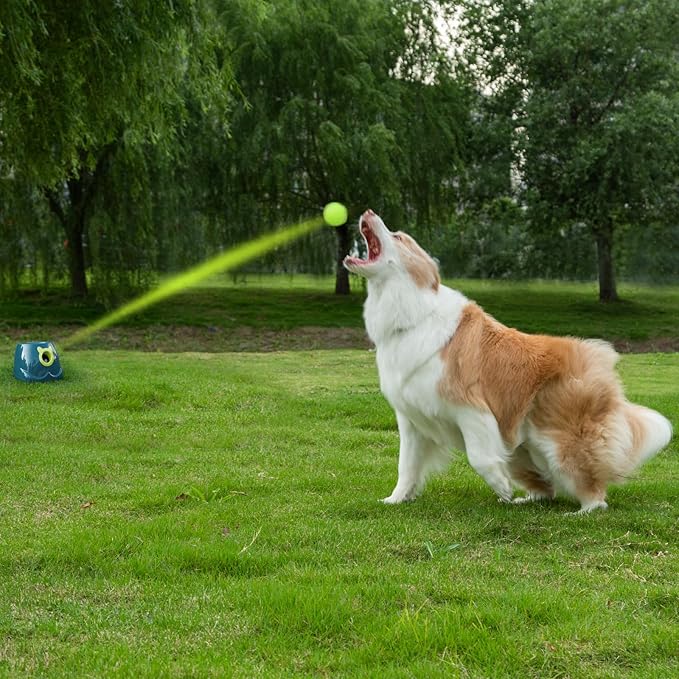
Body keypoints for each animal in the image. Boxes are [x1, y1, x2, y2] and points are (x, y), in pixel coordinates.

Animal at [346, 210, 676, 512]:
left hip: (559, 441)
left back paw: (581, 511)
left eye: (398, 236)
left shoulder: (470, 408)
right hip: (521, 447)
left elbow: (479, 457)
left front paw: (501, 487)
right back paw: (526, 500)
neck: (412, 313)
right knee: (547, 489)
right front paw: (396, 499)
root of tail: (599, 358)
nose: (368, 212)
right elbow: (407, 465)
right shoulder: (412, 419)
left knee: (593, 489)